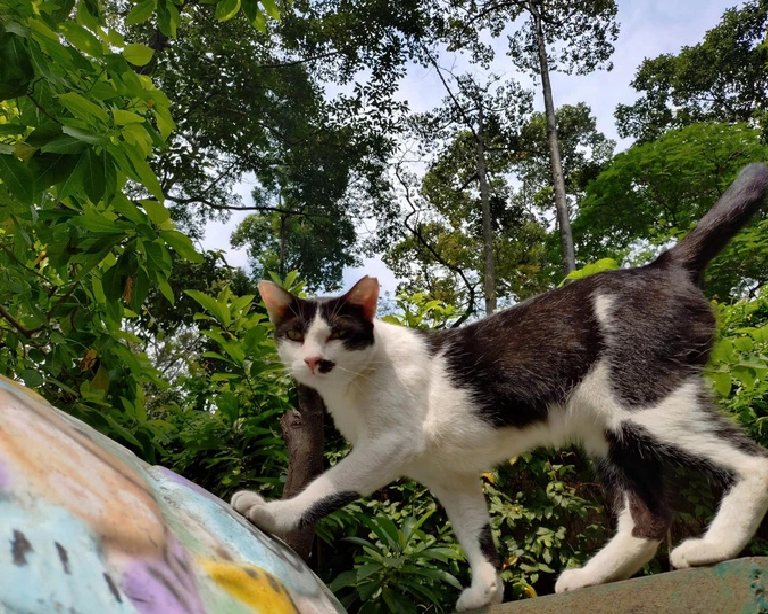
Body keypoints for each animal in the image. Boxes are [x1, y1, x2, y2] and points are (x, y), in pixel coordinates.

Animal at [231, 164, 768, 612]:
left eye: (338, 334)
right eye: (296, 335)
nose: (314, 361)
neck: (356, 383)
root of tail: (663, 266)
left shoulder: (389, 443)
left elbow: (328, 486)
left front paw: (272, 513)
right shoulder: (451, 474)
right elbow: (476, 534)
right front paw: (486, 592)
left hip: (648, 401)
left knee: (752, 459)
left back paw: (713, 547)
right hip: (608, 430)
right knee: (646, 520)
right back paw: (591, 576)